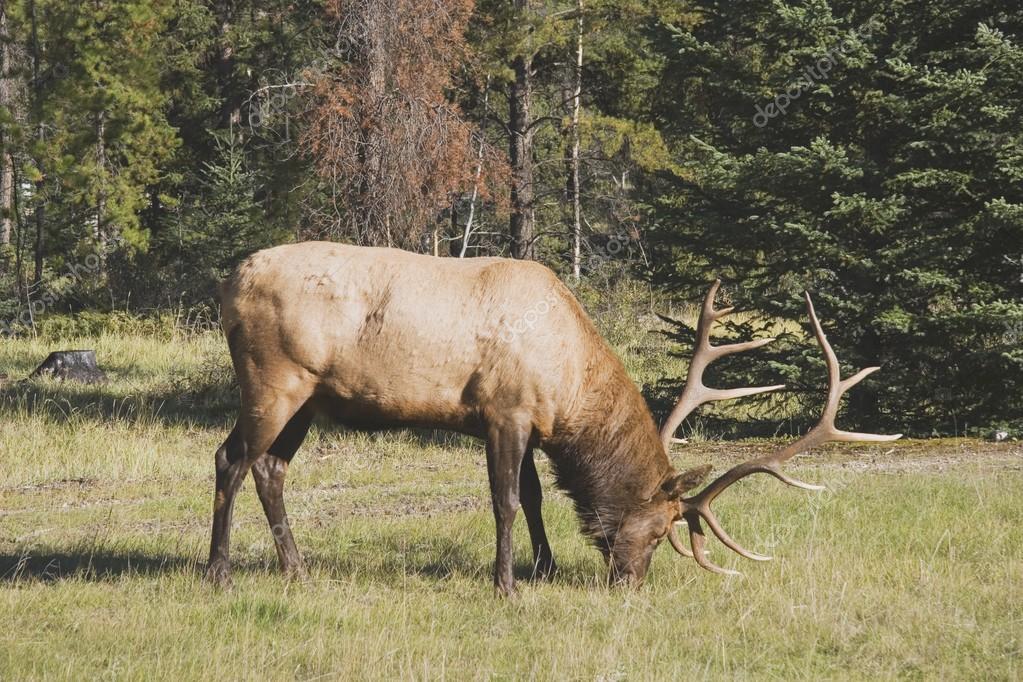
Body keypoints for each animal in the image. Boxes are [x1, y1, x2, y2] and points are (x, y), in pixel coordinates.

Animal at [205, 244, 896, 593]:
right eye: (660, 529)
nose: (631, 583)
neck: (570, 390)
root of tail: (228, 282)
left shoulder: (532, 425)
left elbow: (536, 497)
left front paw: (546, 567)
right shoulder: (504, 412)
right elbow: (507, 500)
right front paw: (507, 584)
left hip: (308, 398)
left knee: (269, 467)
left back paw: (297, 570)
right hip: (274, 378)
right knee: (230, 458)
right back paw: (219, 573)